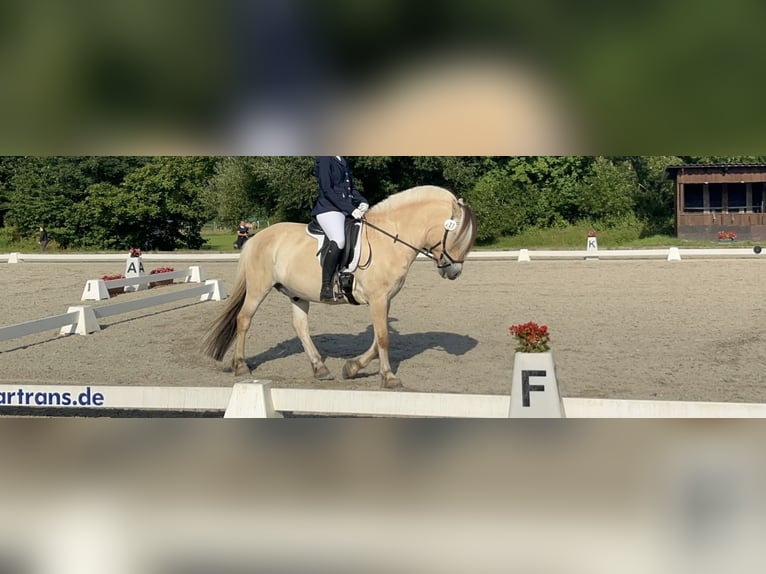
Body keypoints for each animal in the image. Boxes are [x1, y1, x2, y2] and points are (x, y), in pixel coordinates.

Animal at [202, 185, 477, 388]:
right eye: (456, 235)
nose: (454, 271)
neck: (390, 238)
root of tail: (257, 237)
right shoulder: (378, 298)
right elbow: (383, 338)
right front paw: (389, 378)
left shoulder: (385, 299)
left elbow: (377, 339)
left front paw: (352, 368)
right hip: (259, 288)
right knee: (244, 319)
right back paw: (241, 366)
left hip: (297, 294)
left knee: (300, 327)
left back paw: (320, 368)